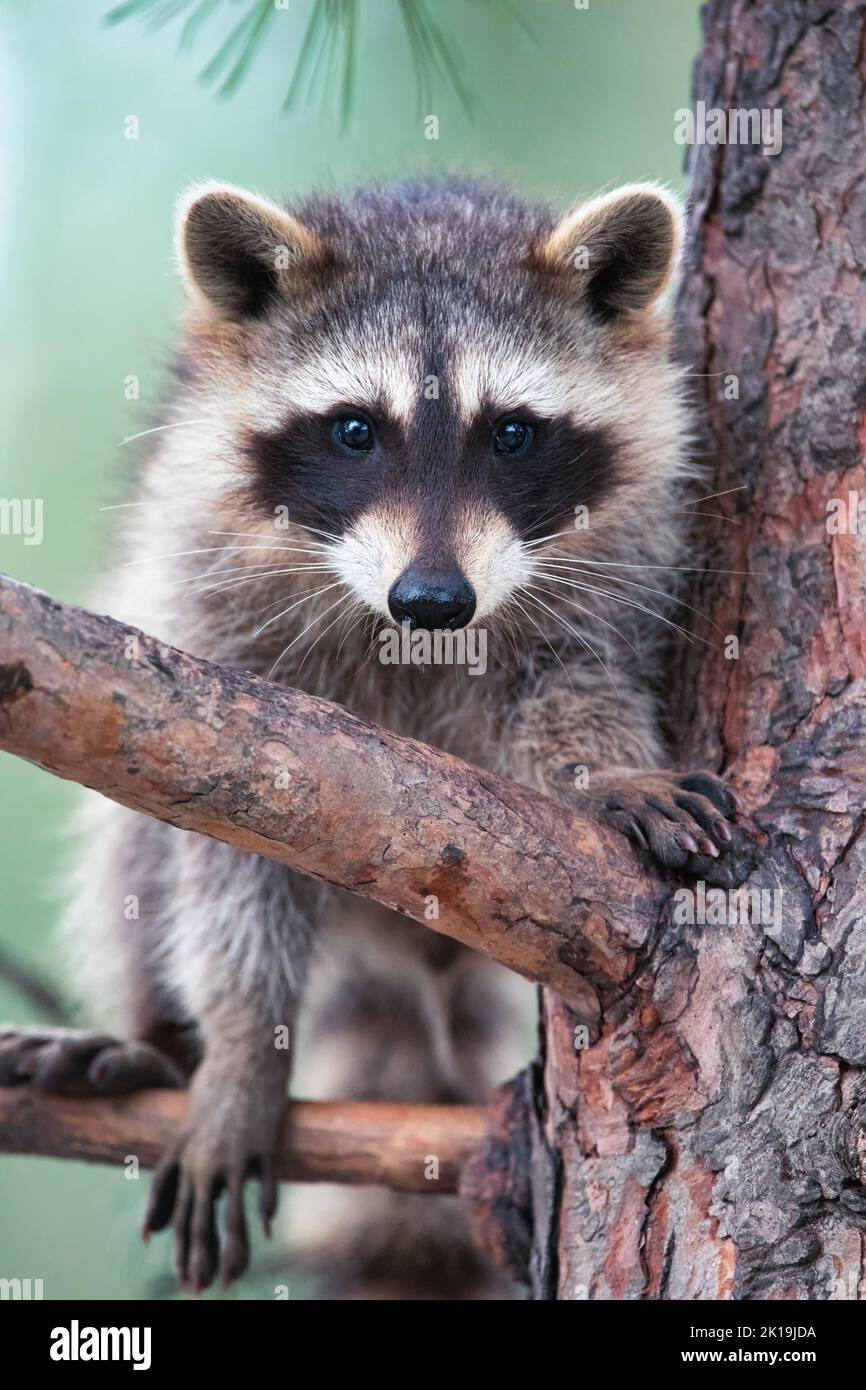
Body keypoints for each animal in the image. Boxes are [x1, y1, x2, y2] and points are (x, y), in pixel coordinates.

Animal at [0, 176, 739, 1301]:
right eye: (355, 430)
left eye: (511, 433)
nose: (431, 600)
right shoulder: (212, 618)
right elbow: (225, 847)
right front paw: (241, 1050)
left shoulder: (625, 554)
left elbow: (574, 682)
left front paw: (608, 770)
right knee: (128, 849)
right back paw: (160, 1042)